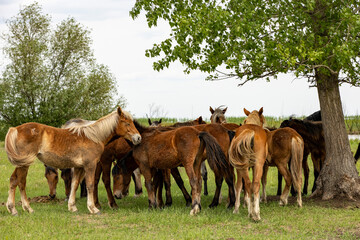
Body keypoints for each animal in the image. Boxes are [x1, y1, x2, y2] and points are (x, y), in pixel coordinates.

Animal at [5, 108, 141, 215]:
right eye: (127, 123)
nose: (138, 138)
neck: (93, 137)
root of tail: (15, 129)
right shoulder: (90, 165)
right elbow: (90, 185)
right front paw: (93, 208)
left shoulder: (78, 167)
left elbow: (74, 185)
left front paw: (72, 207)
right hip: (24, 164)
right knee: (21, 182)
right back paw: (27, 208)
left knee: (13, 180)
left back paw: (13, 209)